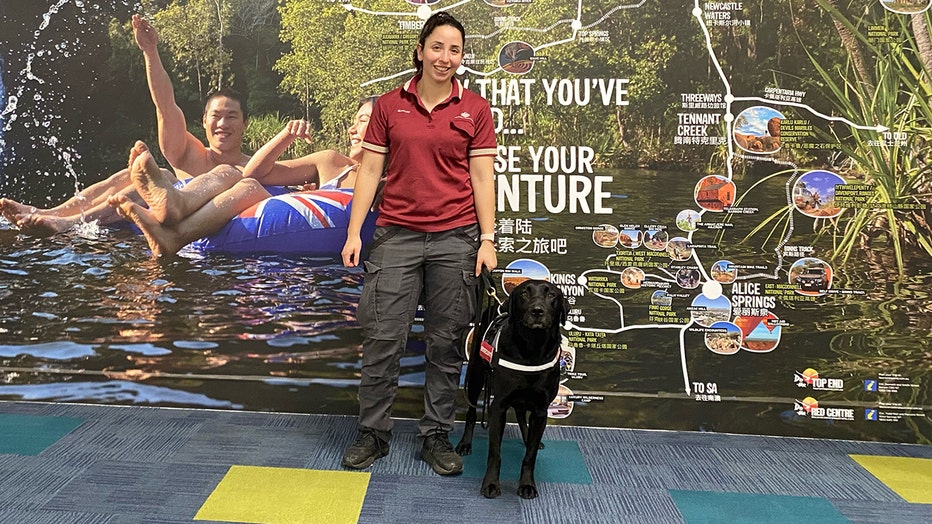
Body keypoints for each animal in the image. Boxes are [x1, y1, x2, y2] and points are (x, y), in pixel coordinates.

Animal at [456, 278, 568, 500]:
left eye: (552, 295)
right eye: (524, 294)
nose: (537, 310)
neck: (532, 348)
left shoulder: (541, 410)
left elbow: (530, 455)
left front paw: (527, 484)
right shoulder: (498, 406)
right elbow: (495, 452)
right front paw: (490, 484)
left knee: (522, 415)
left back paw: (528, 438)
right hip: (475, 376)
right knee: (472, 412)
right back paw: (465, 443)